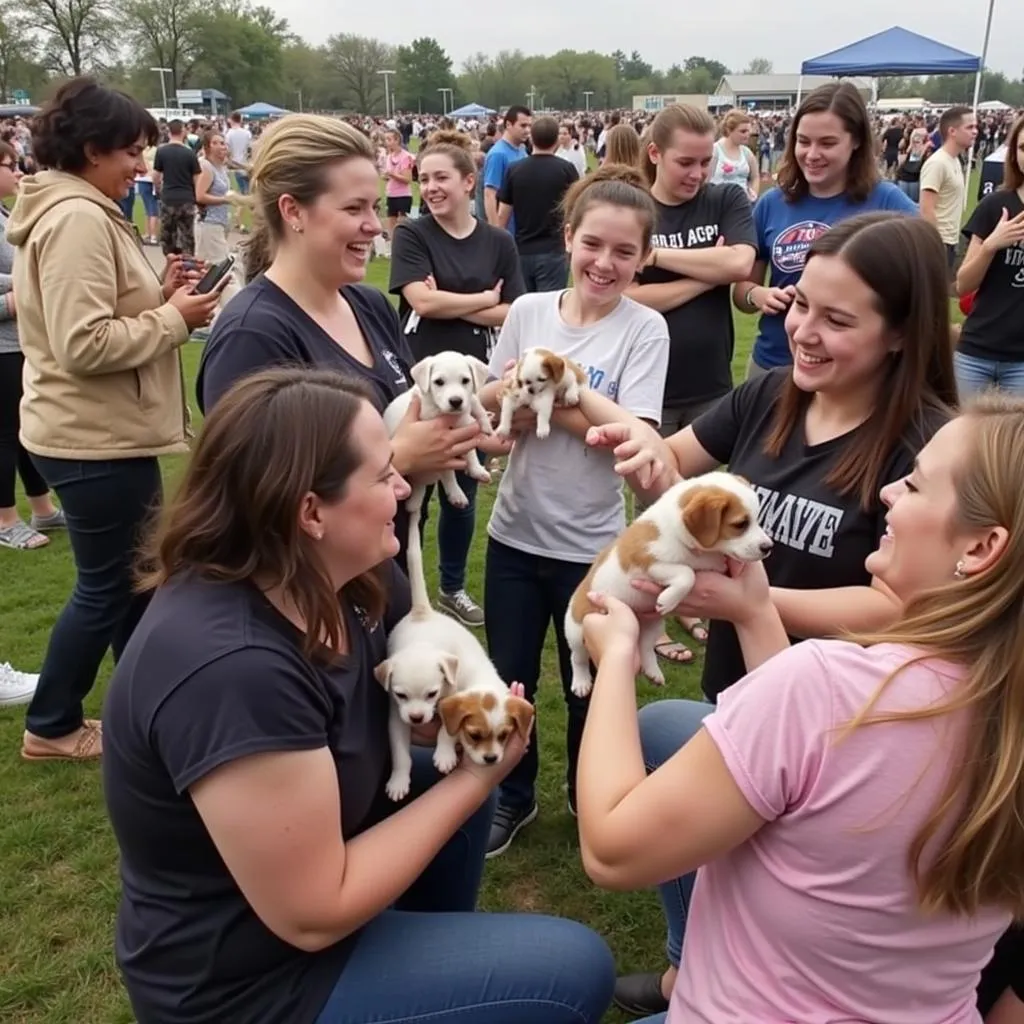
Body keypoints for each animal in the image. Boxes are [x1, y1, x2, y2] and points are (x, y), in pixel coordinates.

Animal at [378, 499, 536, 802]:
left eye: (503, 735)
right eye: (401, 695)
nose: (417, 718)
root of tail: (422, 612)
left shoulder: (446, 701)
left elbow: (446, 730)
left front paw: (444, 755)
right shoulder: (395, 716)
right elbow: (401, 753)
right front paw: (398, 781)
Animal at [385, 352, 495, 512]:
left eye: (465, 380)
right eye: (439, 382)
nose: (456, 401)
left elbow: (475, 405)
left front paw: (476, 469)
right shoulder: (442, 452)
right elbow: (448, 473)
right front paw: (456, 493)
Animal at [565, 468, 770, 696]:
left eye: (757, 520)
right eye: (740, 524)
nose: (768, 547)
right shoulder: (648, 562)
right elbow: (687, 573)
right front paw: (669, 598)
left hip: (652, 626)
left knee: (645, 648)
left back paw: (653, 671)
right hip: (576, 631)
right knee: (578, 657)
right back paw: (581, 681)